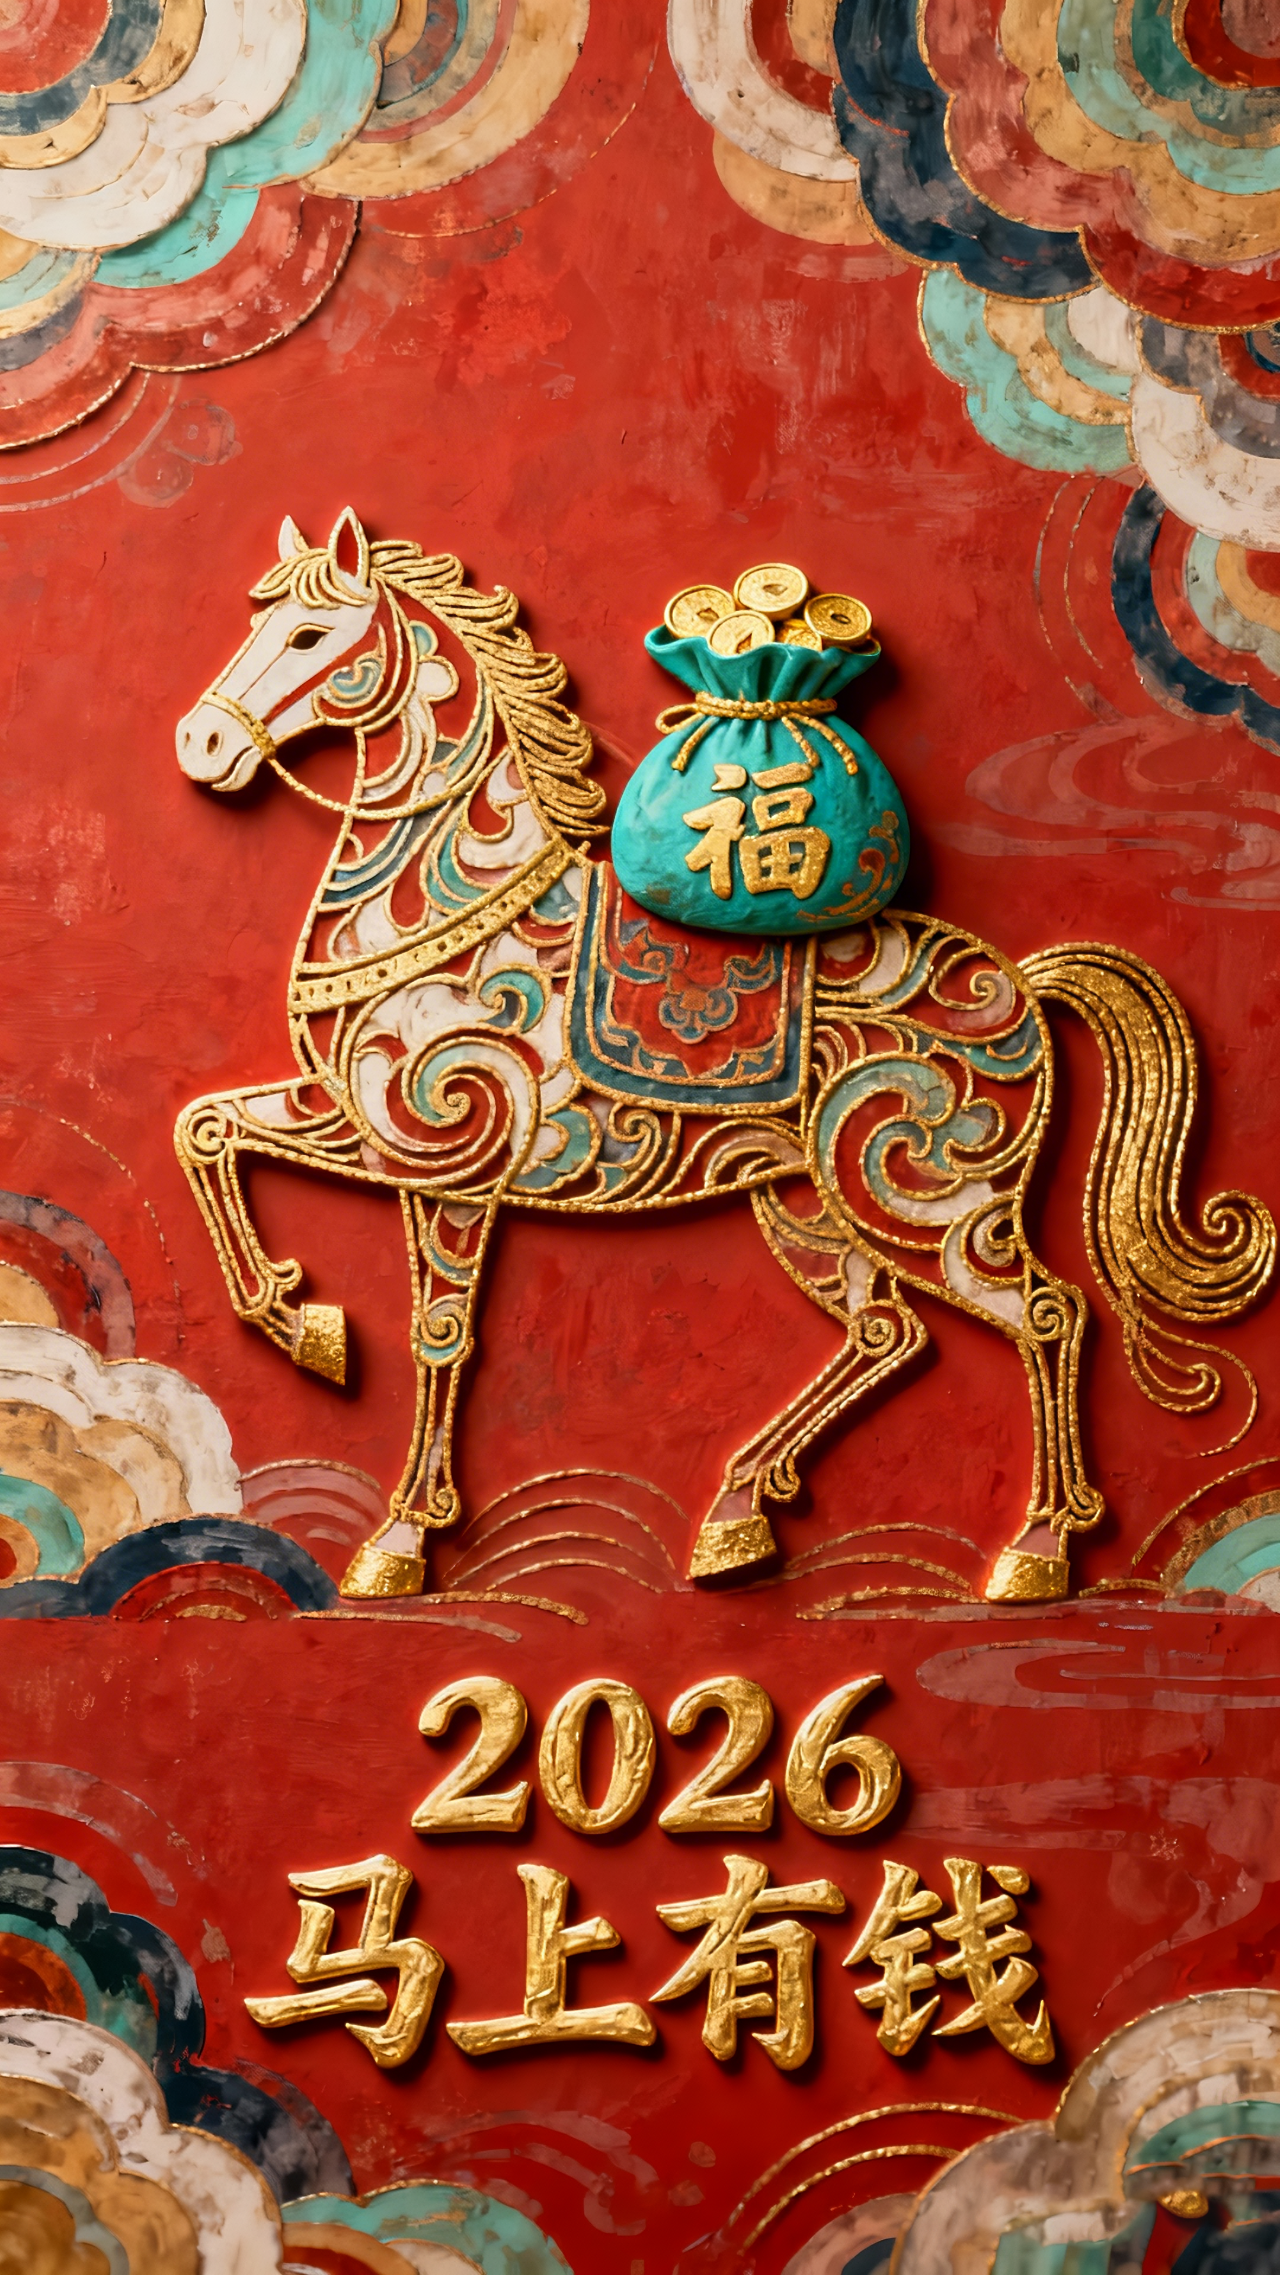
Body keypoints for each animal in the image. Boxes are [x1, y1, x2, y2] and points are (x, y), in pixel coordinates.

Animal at [173, 510, 1276, 1605]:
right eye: (258, 618)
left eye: (309, 635)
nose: (201, 741)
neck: (454, 904)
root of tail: (1019, 981)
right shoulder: (374, 1134)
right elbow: (207, 1128)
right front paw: (309, 1331)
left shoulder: (448, 1150)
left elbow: (439, 1332)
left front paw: (394, 1537)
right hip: (801, 1204)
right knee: (887, 1333)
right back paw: (737, 1517)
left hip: (934, 1200)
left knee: (1046, 1315)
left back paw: (1033, 1552)